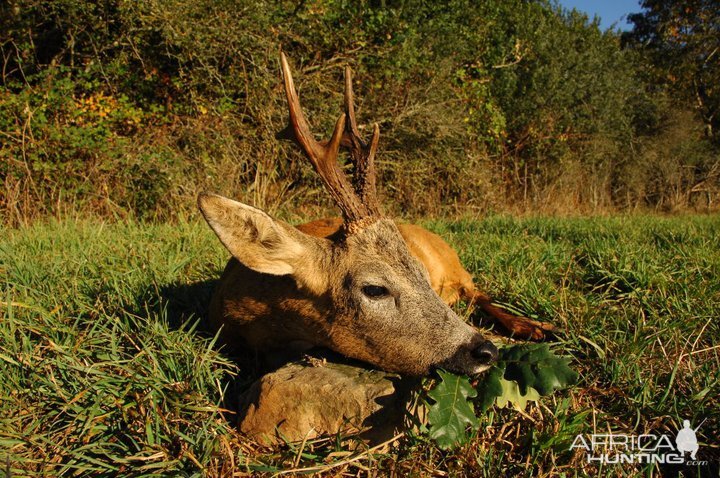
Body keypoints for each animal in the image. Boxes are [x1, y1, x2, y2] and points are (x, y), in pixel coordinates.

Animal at [197, 54, 552, 376]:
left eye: (421, 274)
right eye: (375, 289)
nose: (485, 351)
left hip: (456, 266)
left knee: (477, 289)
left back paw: (533, 326)